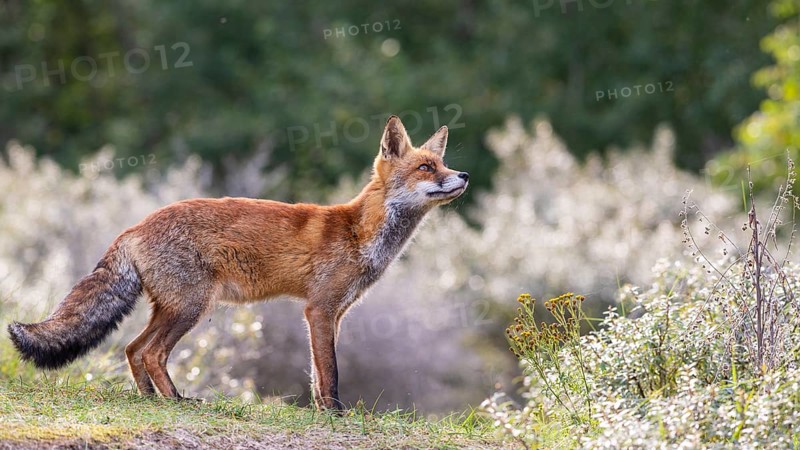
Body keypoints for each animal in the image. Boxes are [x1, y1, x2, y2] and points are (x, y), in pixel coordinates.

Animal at [7, 115, 468, 411]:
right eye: (426, 167)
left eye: (443, 164)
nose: (462, 175)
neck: (359, 233)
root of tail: (135, 226)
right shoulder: (319, 309)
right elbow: (331, 371)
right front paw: (337, 414)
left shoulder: (332, 314)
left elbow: (317, 374)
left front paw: (321, 410)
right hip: (191, 308)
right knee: (151, 353)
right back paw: (177, 400)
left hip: (171, 308)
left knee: (133, 349)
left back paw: (151, 399)